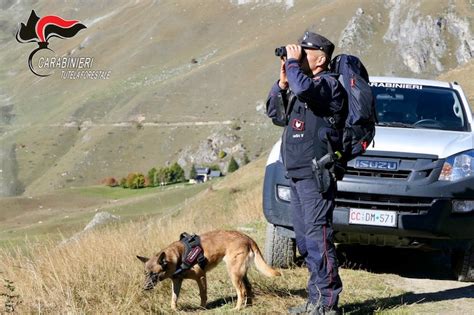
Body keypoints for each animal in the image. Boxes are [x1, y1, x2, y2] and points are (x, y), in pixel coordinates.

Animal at [135, 230, 280, 312]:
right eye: (145, 274)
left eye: (154, 274)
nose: (145, 287)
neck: (177, 257)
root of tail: (247, 238)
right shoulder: (177, 282)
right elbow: (174, 298)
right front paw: (174, 310)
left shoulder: (201, 277)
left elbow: (202, 294)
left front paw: (202, 308)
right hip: (240, 273)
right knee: (248, 287)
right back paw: (247, 305)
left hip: (233, 273)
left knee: (242, 291)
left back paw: (237, 308)